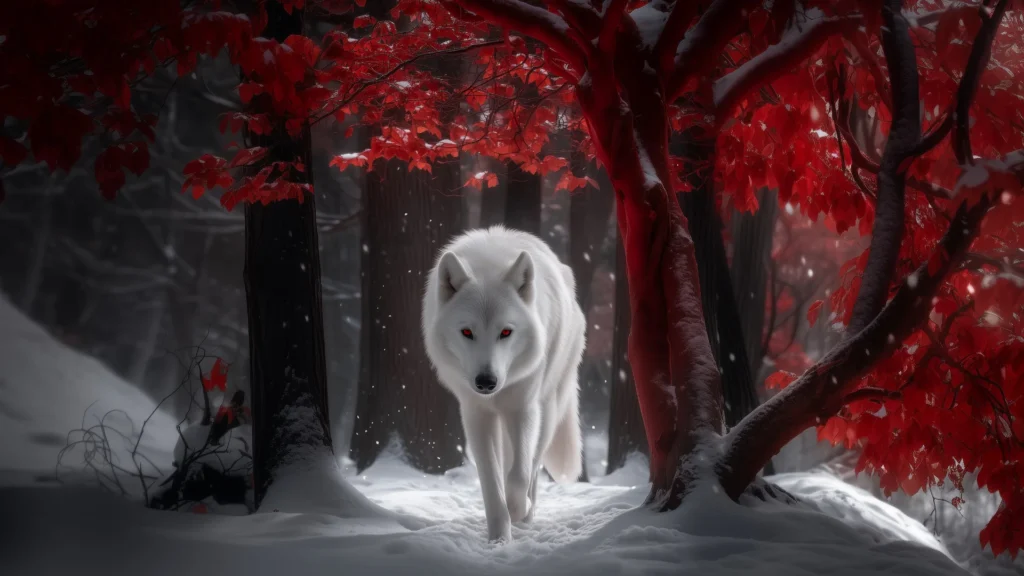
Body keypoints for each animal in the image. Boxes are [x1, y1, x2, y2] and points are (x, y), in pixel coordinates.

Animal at [421, 226, 586, 542]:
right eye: (467, 332)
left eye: (506, 332)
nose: (486, 382)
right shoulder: (476, 414)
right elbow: (491, 481)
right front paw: (499, 538)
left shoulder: (522, 409)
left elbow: (519, 475)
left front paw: (519, 511)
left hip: (546, 411)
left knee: (532, 466)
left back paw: (527, 517)